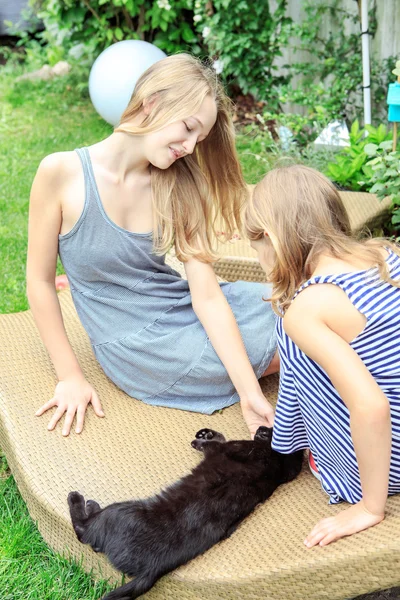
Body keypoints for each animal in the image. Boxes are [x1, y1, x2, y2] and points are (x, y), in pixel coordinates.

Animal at [67, 426, 302, 600]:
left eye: (268, 428)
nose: (260, 427)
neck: (275, 464)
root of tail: (153, 569)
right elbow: (218, 438)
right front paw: (206, 433)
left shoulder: (225, 449)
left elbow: (214, 444)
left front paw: (201, 440)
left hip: (118, 512)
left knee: (84, 531)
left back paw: (78, 499)